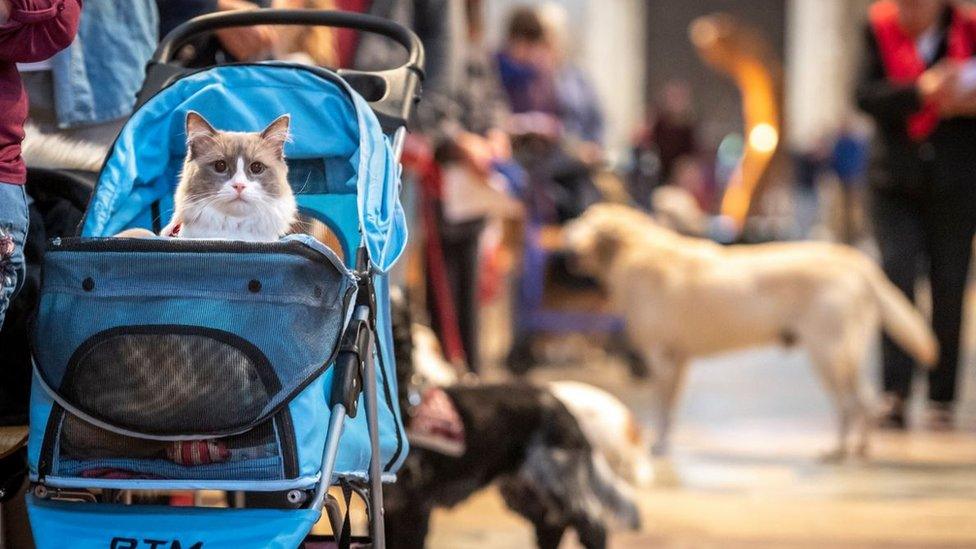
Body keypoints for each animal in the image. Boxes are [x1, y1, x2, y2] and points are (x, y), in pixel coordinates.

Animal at [564, 203, 936, 460]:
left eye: (582, 220)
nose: (565, 243)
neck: (633, 251)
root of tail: (857, 261)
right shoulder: (680, 361)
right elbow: (671, 409)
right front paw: (665, 442)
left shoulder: (662, 359)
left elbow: (661, 408)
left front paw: (658, 445)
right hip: (846, 356)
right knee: (867, 402)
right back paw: (860, 448)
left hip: (827, 353)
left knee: (851, 404)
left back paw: (839, 451)